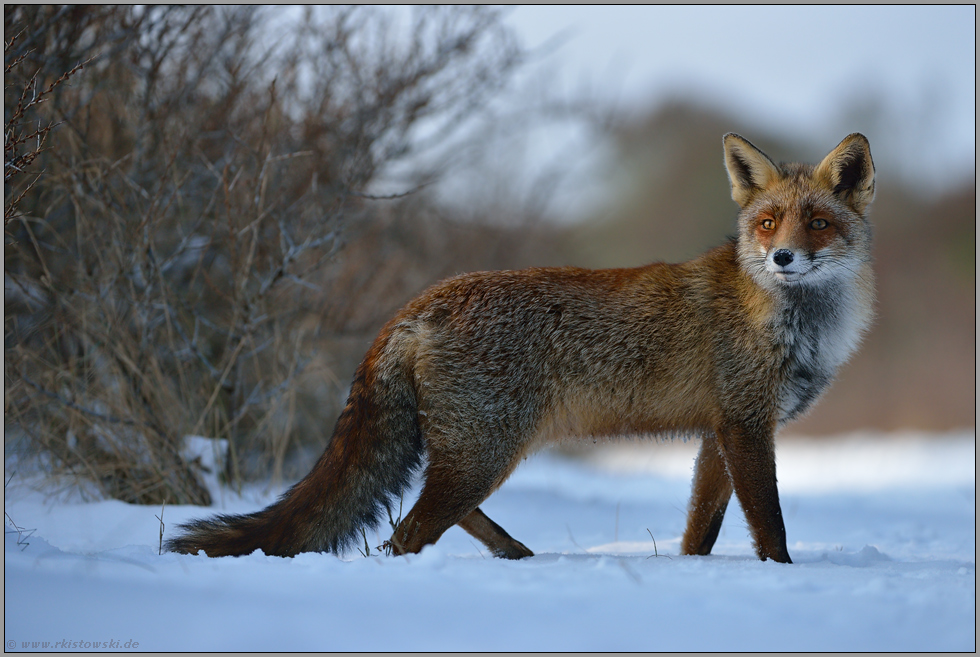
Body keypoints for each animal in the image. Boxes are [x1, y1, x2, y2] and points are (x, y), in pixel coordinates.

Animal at [167, 133, 876, 564]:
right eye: (767, 224)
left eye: (817, 223)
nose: (782, 258)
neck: (793, 322)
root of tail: (423, 301)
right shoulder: (747, 427)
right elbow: (770, 526)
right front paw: (784, 576)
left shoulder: (718, 432)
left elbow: (701, 531)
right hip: (486, 450)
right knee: (406, 532)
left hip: (477, 453)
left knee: (433, 519)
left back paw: (516, 556)